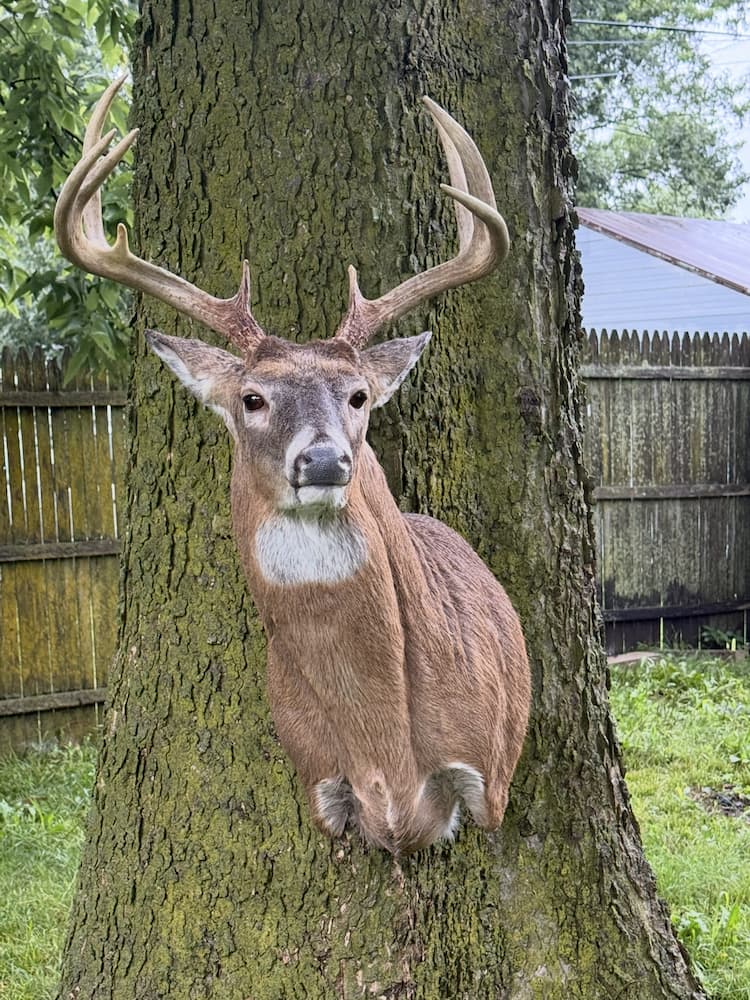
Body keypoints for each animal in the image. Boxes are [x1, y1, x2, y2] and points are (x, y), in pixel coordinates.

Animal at [55, 75, 531, 855]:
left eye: (359, 395)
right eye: (252, 397)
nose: (326, 459)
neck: (385, 753)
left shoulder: (488, 771)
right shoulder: (318, 778)